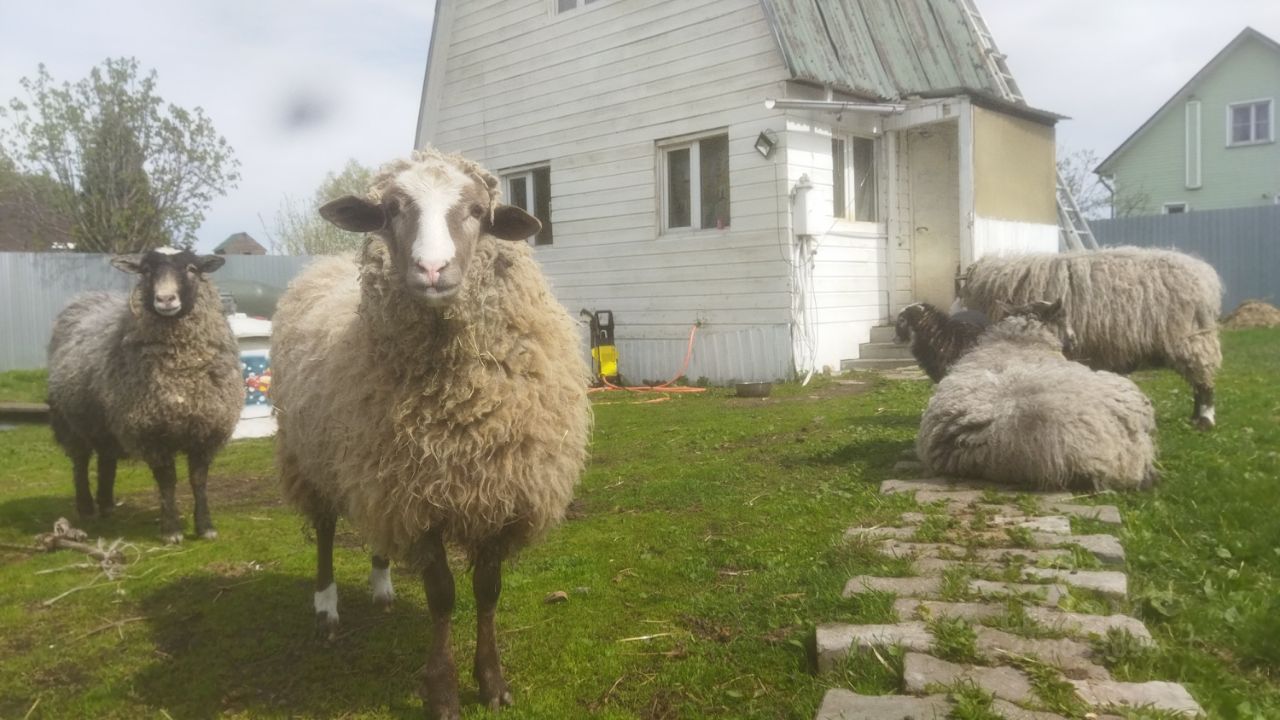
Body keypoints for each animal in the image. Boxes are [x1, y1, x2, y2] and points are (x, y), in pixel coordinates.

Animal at [47, 245, 244, 538]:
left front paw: (205, 527)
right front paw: (171, 530)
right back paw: (87, 508)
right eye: (146, 270)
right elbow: (167, 481)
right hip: (69, 422)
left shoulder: (206, 428)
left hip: (106, 423)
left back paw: (107, 505)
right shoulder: (151, 430)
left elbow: (198, 481)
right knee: (80, 463)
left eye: (191, 268)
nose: (165, 299)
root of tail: (84, 299)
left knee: (106, 459)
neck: (182, 373)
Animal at [272, 147, 591, 717]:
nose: (432, 269)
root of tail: (321, 265)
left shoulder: (495, 493)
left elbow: (488, 589)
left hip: (373, 472)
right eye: (390, 210)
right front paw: (442, 690)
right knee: (326, 530)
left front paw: (491, 681)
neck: (460, 408)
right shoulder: (418, 504)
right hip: (310, 457)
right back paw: (326, 609)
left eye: (478, 211)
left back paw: (381, 588)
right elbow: (442, 595)